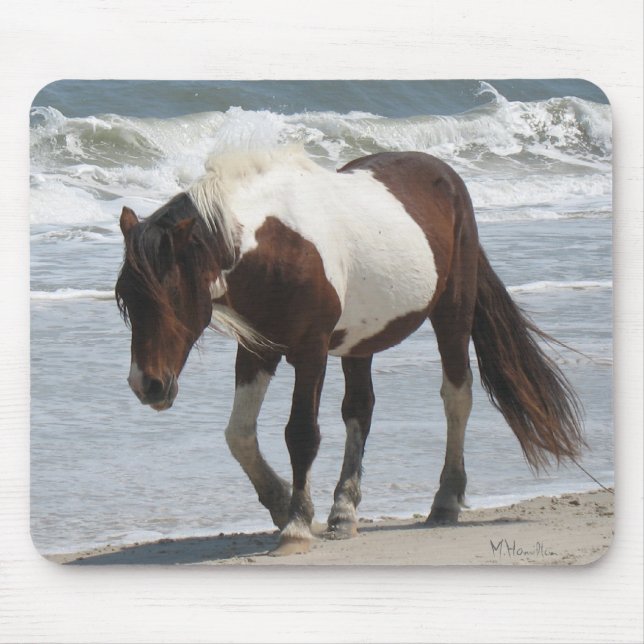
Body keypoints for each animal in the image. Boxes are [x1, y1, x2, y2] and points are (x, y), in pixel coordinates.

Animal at [115, 147, 584, 555]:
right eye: (126, 299)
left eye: (170, 294)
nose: (146, 385)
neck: (279, 245)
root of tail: (446, 175)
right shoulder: (257, 351)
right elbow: (239, 434)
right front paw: (281, 502)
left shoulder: (311, 352)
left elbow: (301, 434)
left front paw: (296, 526)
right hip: (360, 342)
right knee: (360, 409)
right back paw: (344, 512)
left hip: (452, 310)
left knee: (457, 396)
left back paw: (446, 500)